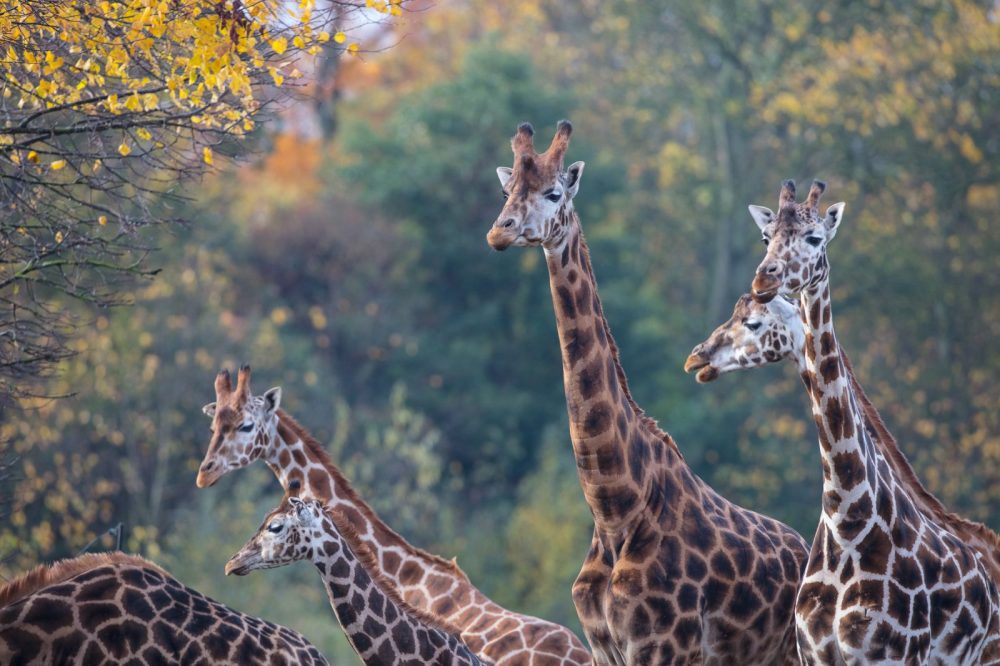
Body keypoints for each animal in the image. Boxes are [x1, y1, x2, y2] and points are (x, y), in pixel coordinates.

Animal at [485, 120, 810, 665]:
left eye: (554, 193)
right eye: (508, 192)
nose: (499, 231)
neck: (616, 507)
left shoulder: (663, 647)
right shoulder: (603, 646)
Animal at [745, 179, 999, 664]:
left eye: (815, 238)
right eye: (766, 238)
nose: (763, 279)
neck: (847, 516)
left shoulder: (891, 653)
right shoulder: (814, 653)